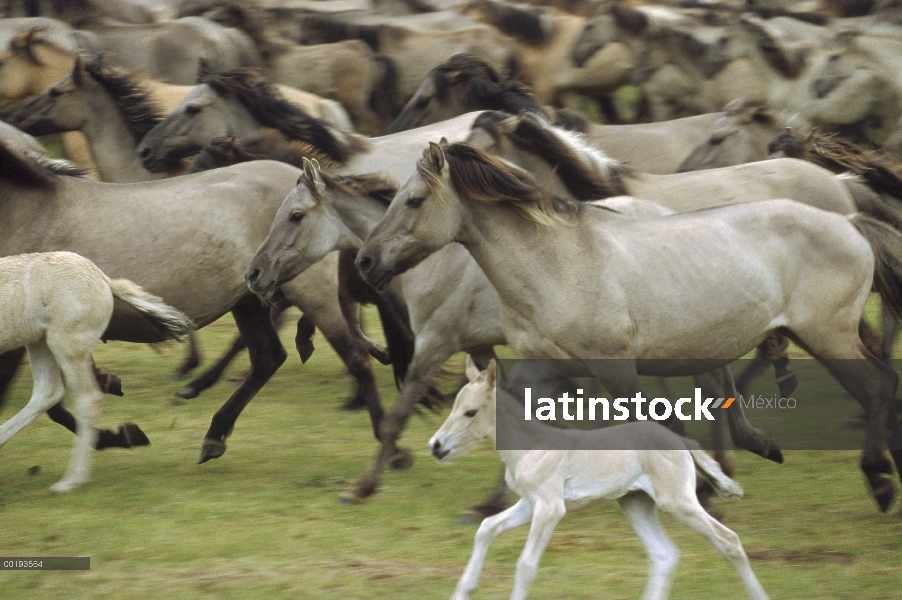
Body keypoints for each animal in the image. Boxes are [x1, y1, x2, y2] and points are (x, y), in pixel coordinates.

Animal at [0, 251, 194, 490]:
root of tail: (103, 278)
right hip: (39, 342)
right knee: (47, 392)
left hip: (66, 345)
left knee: (87, 398)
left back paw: (72, 481)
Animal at [356, 139, 902, 510]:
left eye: (414, 200)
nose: (365, 261)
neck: (556, 264)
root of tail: (849, 221)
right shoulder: (540, 368)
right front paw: (490, 504)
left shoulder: (616, 368)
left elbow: (654, 426)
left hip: (828, 337)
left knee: (878, 387)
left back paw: (878, 479)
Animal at [430, 356, 768, 600]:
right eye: (455, 406)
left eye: (470, 412)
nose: (435, 446)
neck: (531, 445)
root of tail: (681, 441)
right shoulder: (529, 504)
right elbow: (487, 528)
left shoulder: (550, 508)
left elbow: (526, 564)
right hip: (636, 503)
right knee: (664, 555)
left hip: (677, 502)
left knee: (729, 541)